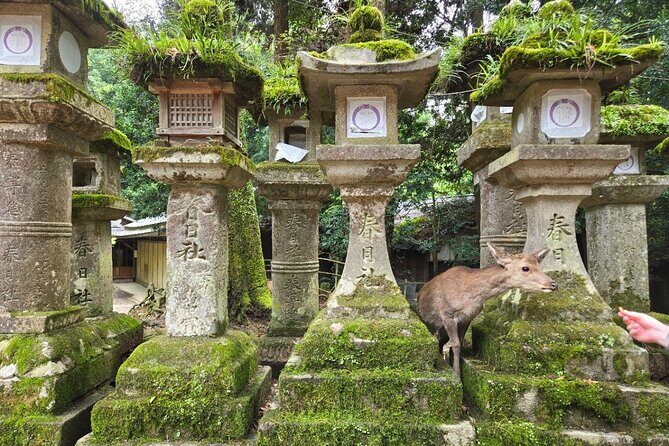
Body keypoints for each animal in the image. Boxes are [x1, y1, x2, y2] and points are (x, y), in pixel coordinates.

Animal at [417, 243, 558, 379]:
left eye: (540, 266)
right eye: (525, 268)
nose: (553, 284)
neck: (470, 296)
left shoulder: (467, 318)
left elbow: (459, 343)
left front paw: (455, 368)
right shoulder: (447, 313)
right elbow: (455, 344)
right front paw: (457, 375)